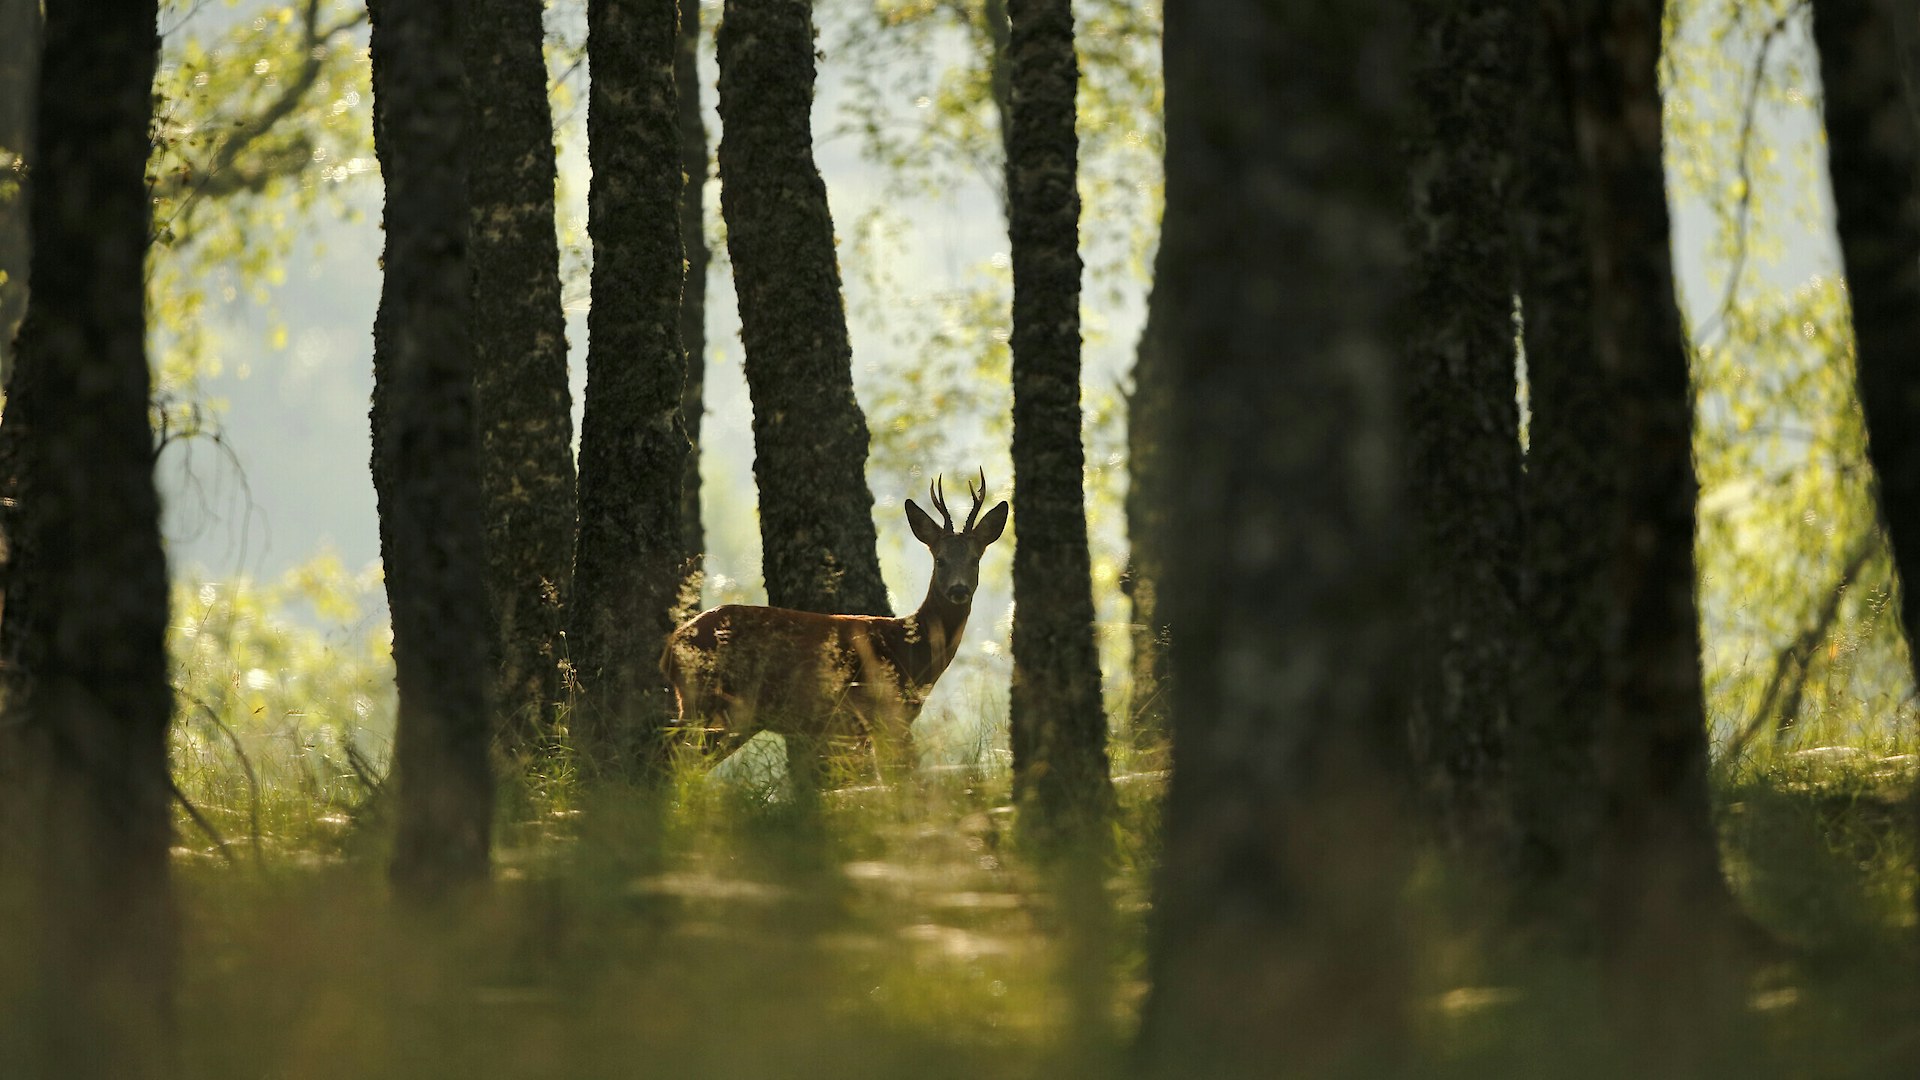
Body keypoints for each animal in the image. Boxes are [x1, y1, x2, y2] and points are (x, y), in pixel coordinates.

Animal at [660, 466, 1013, 776]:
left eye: (975, 559)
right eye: (940, 560)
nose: (958, 589)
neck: (911, 650)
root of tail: (671, 646)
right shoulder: (883, 713)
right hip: (706, 701)